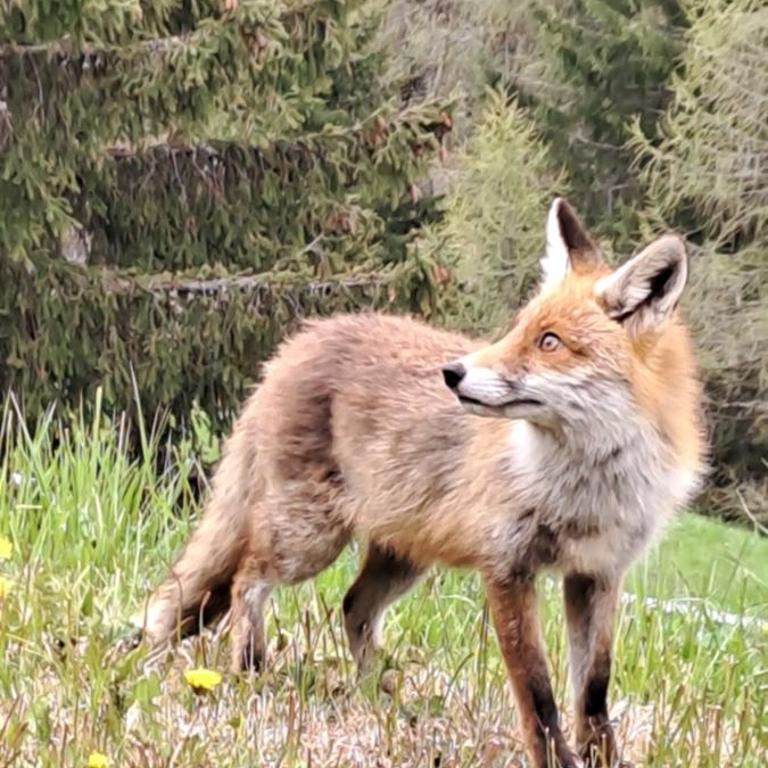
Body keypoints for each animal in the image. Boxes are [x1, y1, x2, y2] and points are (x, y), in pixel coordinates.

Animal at [140, 199, 706, 768]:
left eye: (550, 342)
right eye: (515, 329)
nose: (452, 373)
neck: (587, 488)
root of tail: (299, 340)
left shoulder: (598, 574)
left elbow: (592, 690)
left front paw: (602, 757)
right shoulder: (507, 569)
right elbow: (537, 691)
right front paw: (553, 759)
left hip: (403, 555)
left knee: (352, 607)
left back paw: (380, 698)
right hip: (308, 539)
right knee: (245, 581)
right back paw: (252, 671)